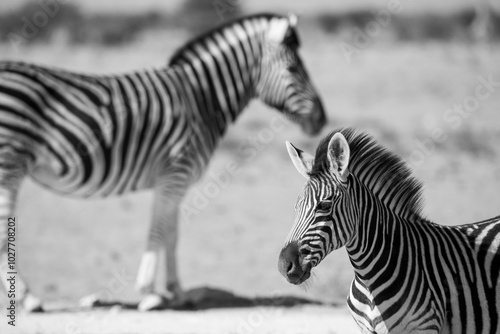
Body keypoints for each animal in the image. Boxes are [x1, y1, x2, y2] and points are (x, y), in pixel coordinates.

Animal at [0, 12, 326, 310]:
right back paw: (29, 298)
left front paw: (177, 292)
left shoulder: (174, 181)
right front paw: (149, 293)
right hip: (9, 164)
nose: (321, 119)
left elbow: (171, 234)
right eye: (293, 68)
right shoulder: (174, 174)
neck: (201, 100)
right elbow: (158, 230)